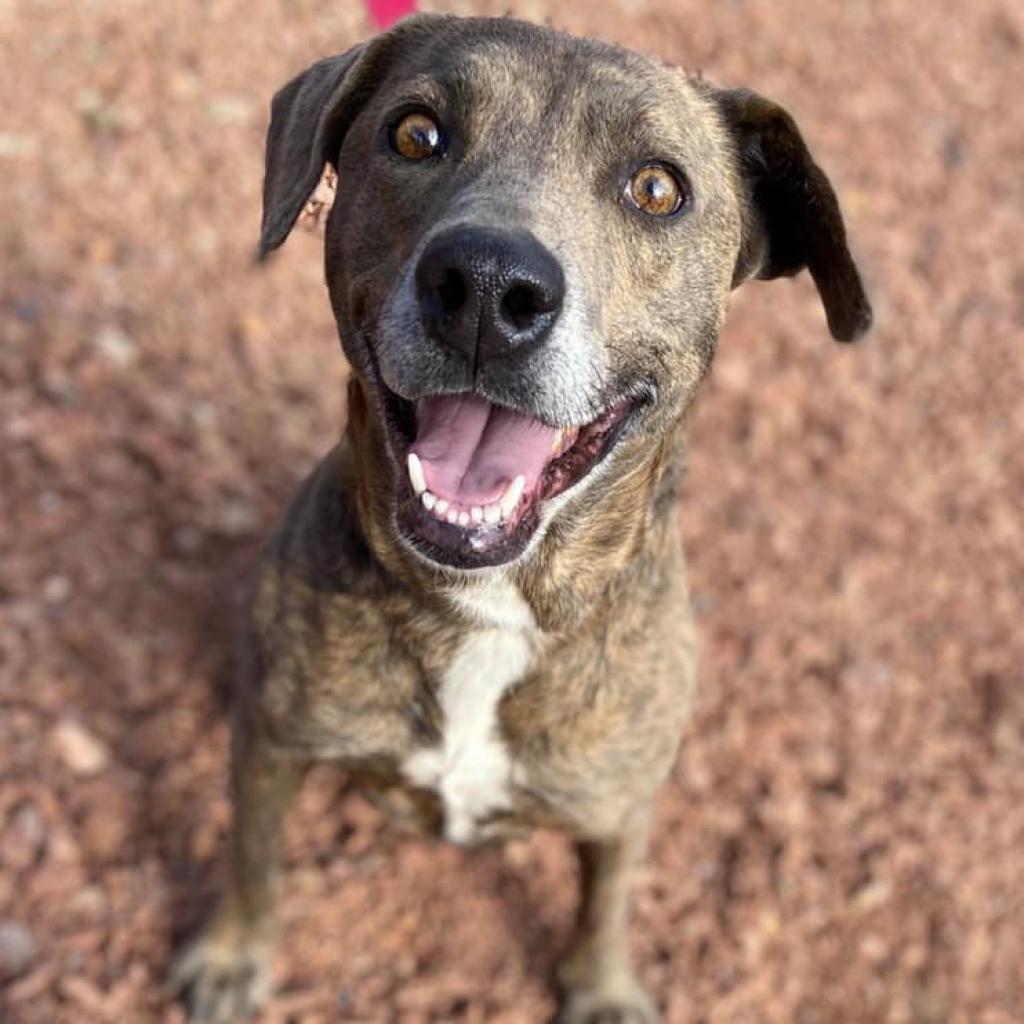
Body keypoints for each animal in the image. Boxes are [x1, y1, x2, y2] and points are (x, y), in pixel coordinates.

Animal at [169, 9, 872, 1024]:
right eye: (415, 134)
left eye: (657, 188)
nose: (489, 287)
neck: (490, 608)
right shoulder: (272, 745)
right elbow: (253, 858)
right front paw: (232, 956)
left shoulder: (618, 804)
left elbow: (605, 898)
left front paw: (603, 987)